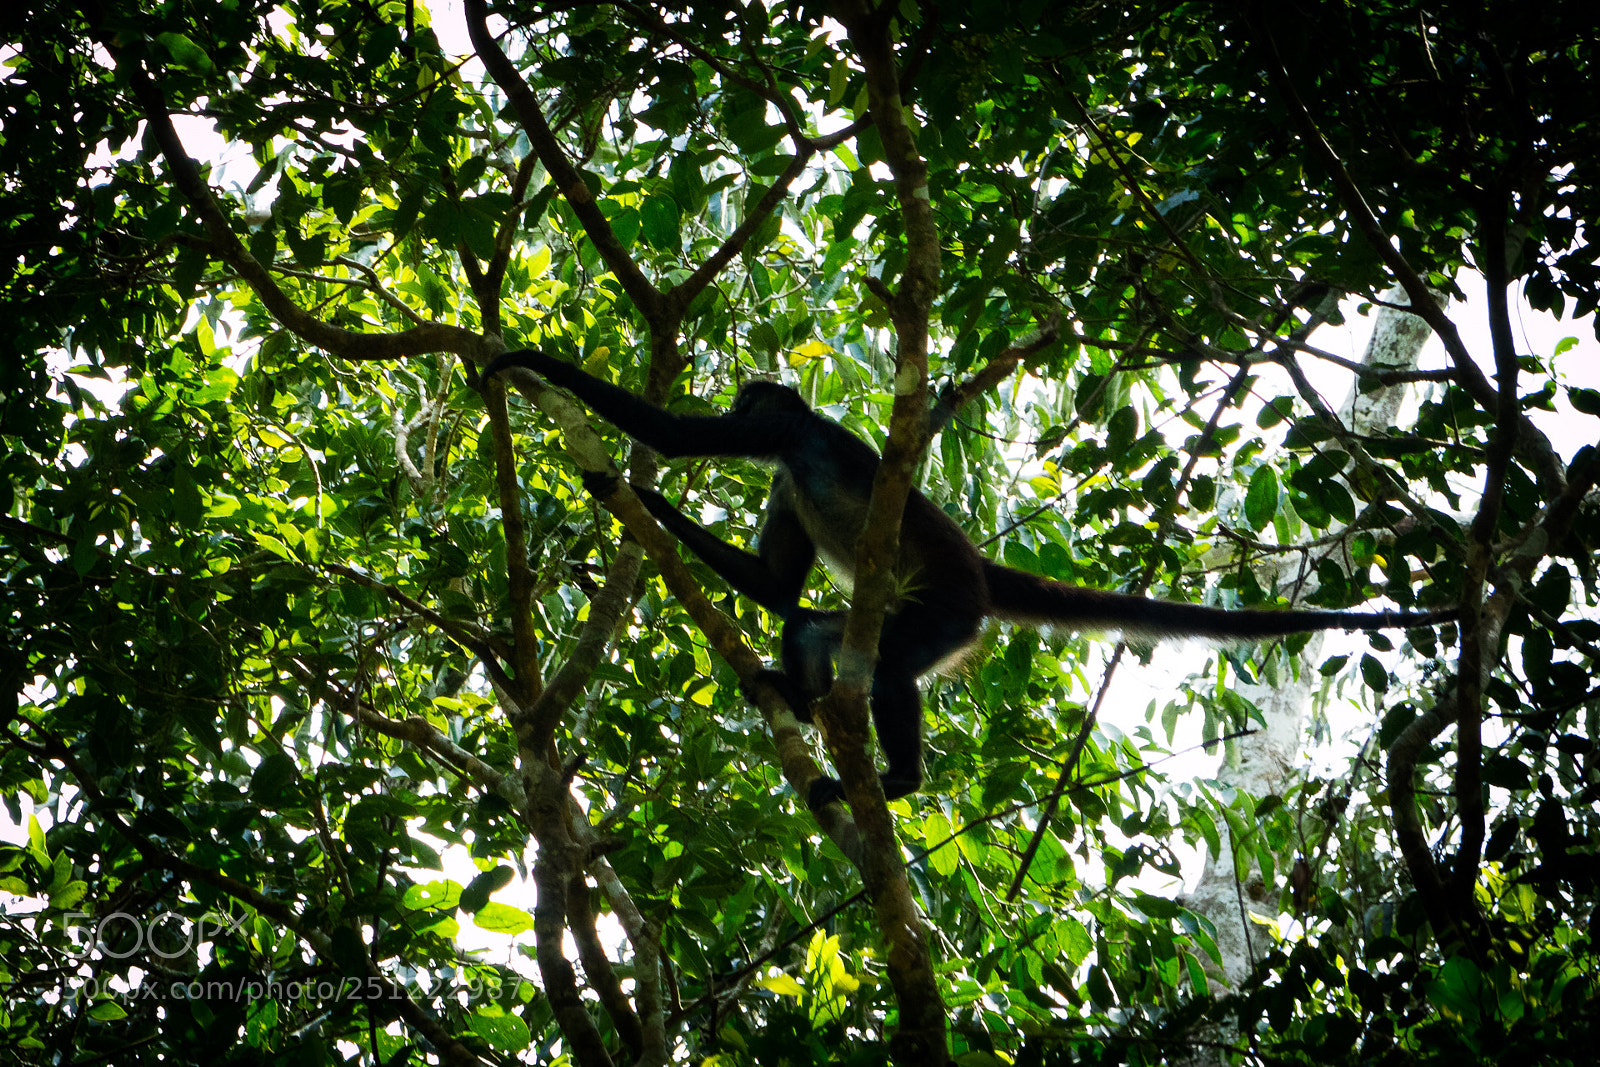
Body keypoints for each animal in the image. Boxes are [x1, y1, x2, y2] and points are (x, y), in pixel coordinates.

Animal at [482, 348, 1457, 809]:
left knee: (887, 671)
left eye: (746, 401)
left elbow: (676, 437)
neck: (796, 446)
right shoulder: (784, 474)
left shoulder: (789, 441)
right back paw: (802, 700)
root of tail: (978, 575)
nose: (737, 399)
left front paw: (592, 446)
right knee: (815, 631)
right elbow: (774, 592)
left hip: (945, 615)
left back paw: (897, 781)